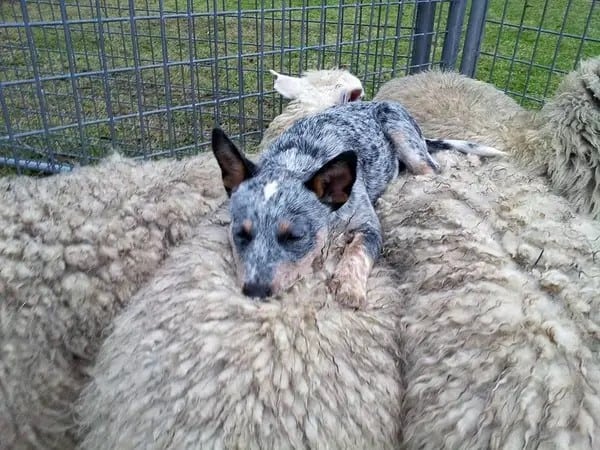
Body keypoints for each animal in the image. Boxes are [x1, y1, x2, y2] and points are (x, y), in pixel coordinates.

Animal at [211, 100, 506, 308]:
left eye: (295, 237)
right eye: (240, 234)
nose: (254, 292)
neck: (296, 161)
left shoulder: (369, 226)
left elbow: (357, 251)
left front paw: (349, 287)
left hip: (406, 139)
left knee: (430, 169)